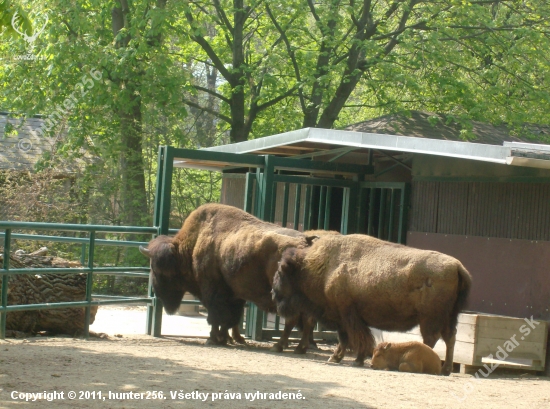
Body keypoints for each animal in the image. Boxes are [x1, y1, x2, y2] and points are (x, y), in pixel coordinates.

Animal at [140, 203, 316, 350]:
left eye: (157, 270)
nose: (159, 293)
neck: (193, 244)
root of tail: (305, 242)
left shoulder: (212, 291)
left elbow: (216, 316)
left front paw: (213, 339)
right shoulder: (233, 295)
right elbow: (230, 318)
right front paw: (224, 338)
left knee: (293, 318)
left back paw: (281, 346)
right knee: (307, 319)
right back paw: (300, 347)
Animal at [274, 233, 472, 372]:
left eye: (281, 271)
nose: (273, 292)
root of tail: (457, 266)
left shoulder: (346, 314)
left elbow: (352, 337)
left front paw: (351, 359)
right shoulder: (345, 317)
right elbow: (349, 338)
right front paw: (343, 358)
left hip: (429, 318)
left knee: (431, 338)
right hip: (449, 317)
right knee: (450, 337)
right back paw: (446, 369)